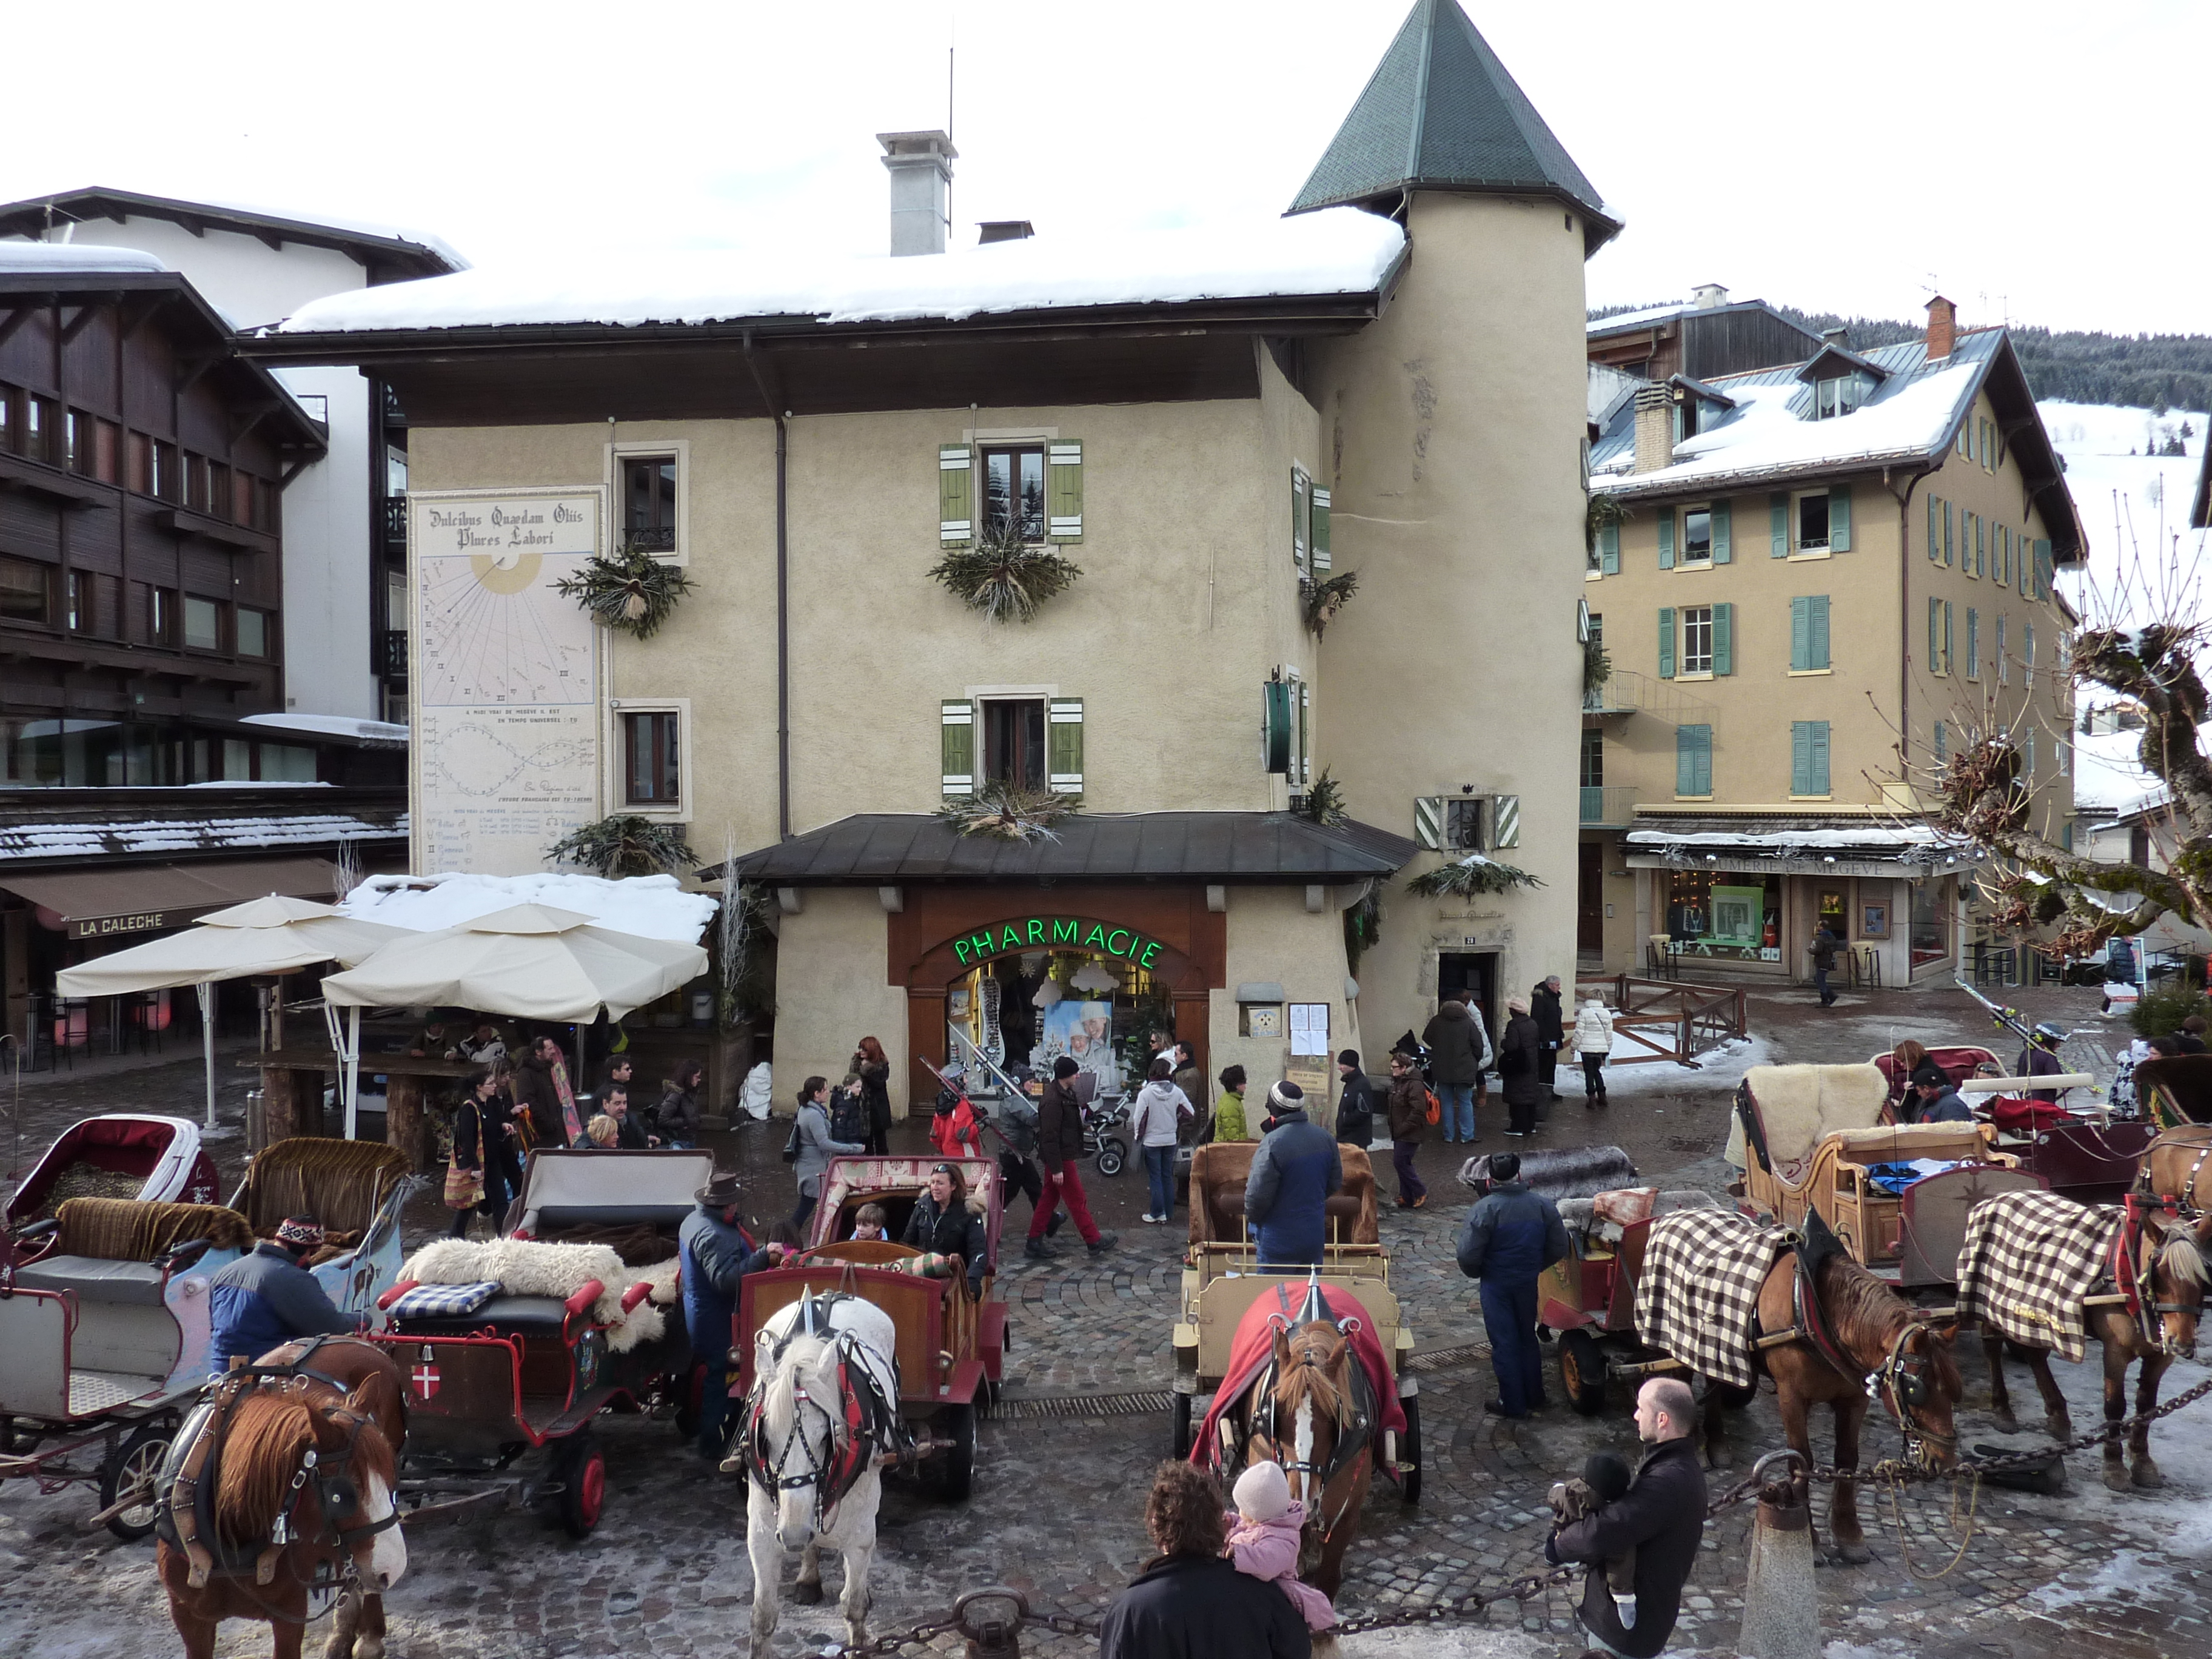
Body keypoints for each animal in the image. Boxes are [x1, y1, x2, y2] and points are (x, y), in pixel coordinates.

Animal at [161, 1336, 415, 1659]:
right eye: (340, 1494)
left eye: (392, 1476)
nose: (393, 1569)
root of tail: (360, 1340)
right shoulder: (187, 1617)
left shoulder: (290, 1614)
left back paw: (367, 1636)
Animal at [743, 1301, 898, 1659]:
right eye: (763, 1439)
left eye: (828, 1437)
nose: (794, 1534)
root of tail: (836, 1295)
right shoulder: (762, 1533)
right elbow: (763, 1617)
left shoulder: (859, 1534)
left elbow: (854, 1606)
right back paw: (808, 1578)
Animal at [1698, 1256, 1964, 1566]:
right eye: (1916, 1389)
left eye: (1955, 1387)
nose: (1944, 1460)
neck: (1816, 1310)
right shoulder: (1791, 1397)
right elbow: (1800, 1461)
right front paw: (1810, 1539)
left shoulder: (1854, 1399)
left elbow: (1847, 1460)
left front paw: (1849, 1535)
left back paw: (1717, 1443)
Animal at [1982, 1212, 2203, 1495]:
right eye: (2160, 1273)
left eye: (2204, 1276)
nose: (2182, 1344)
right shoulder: (2115, 1350)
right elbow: (2115, 1406)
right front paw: (2114, 1468)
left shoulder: (2161, 1357)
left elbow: (2147, 1406)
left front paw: (2143, 1463)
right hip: (1992, 1304)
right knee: (1992, 1347)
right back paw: (2002, 1410)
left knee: (2035, 1355)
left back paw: (2058, 1416)